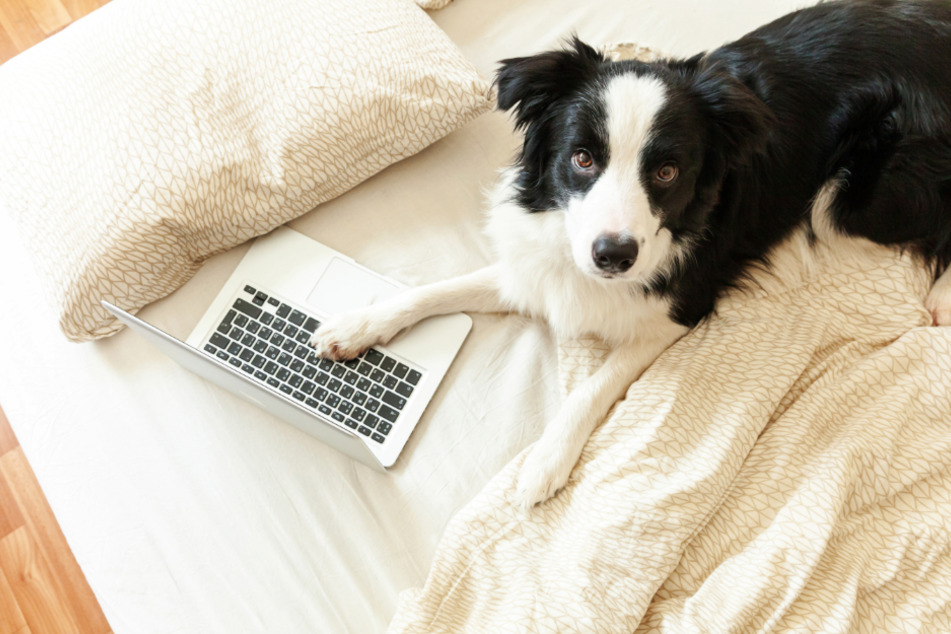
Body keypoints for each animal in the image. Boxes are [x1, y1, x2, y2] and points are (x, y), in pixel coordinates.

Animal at [316, 0, 951, 506]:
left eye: (667, 172)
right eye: (582, 158)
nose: (613, 257)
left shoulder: (674, 310)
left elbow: (594, 387)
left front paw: (544, 462)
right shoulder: (545, 264)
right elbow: (439, 289)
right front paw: (357, 325)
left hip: (854, 199)